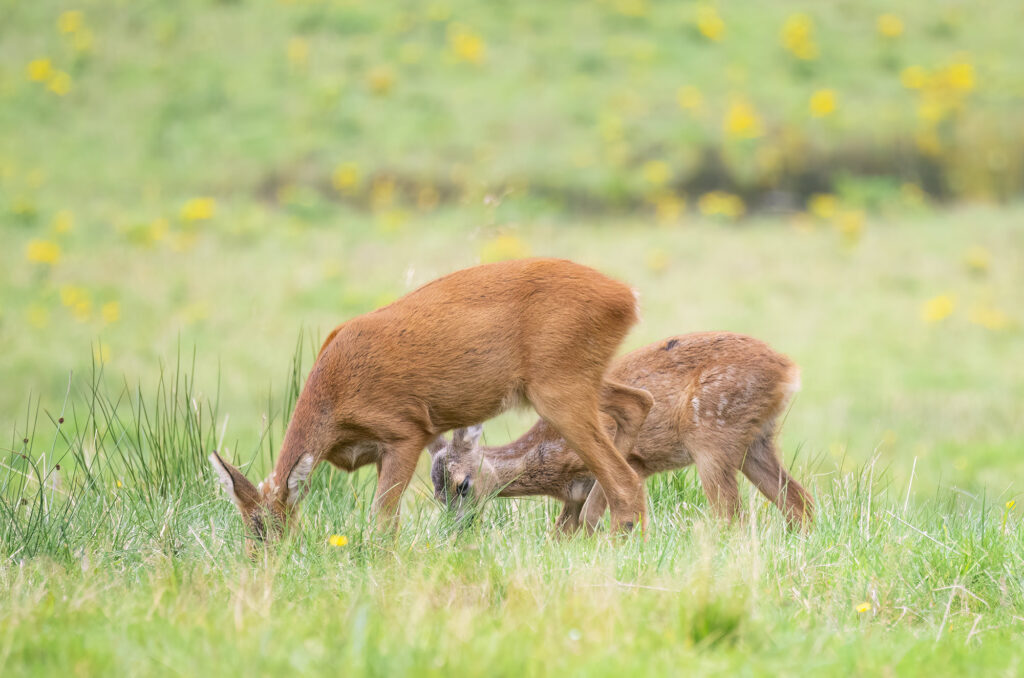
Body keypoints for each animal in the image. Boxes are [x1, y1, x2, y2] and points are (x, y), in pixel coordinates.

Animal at [210, 258, 651, 548]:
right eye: (247, 527)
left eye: (270, 531)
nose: (260, 566)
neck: (334, 401)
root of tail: (627, 298)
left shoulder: (405, 431)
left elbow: (382, 519)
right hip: (576, 379)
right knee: (638, 403)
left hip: (560, 387)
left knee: (625, 478)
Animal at [432, 331, 815, 532]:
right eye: (436, 495)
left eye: (463, 485)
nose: (457, 528)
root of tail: (789, 371)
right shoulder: (572, 498)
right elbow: (561, 533)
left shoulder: (625, 464)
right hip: (756, 443)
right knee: (800, 502)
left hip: (712, 436)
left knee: (731, 516)